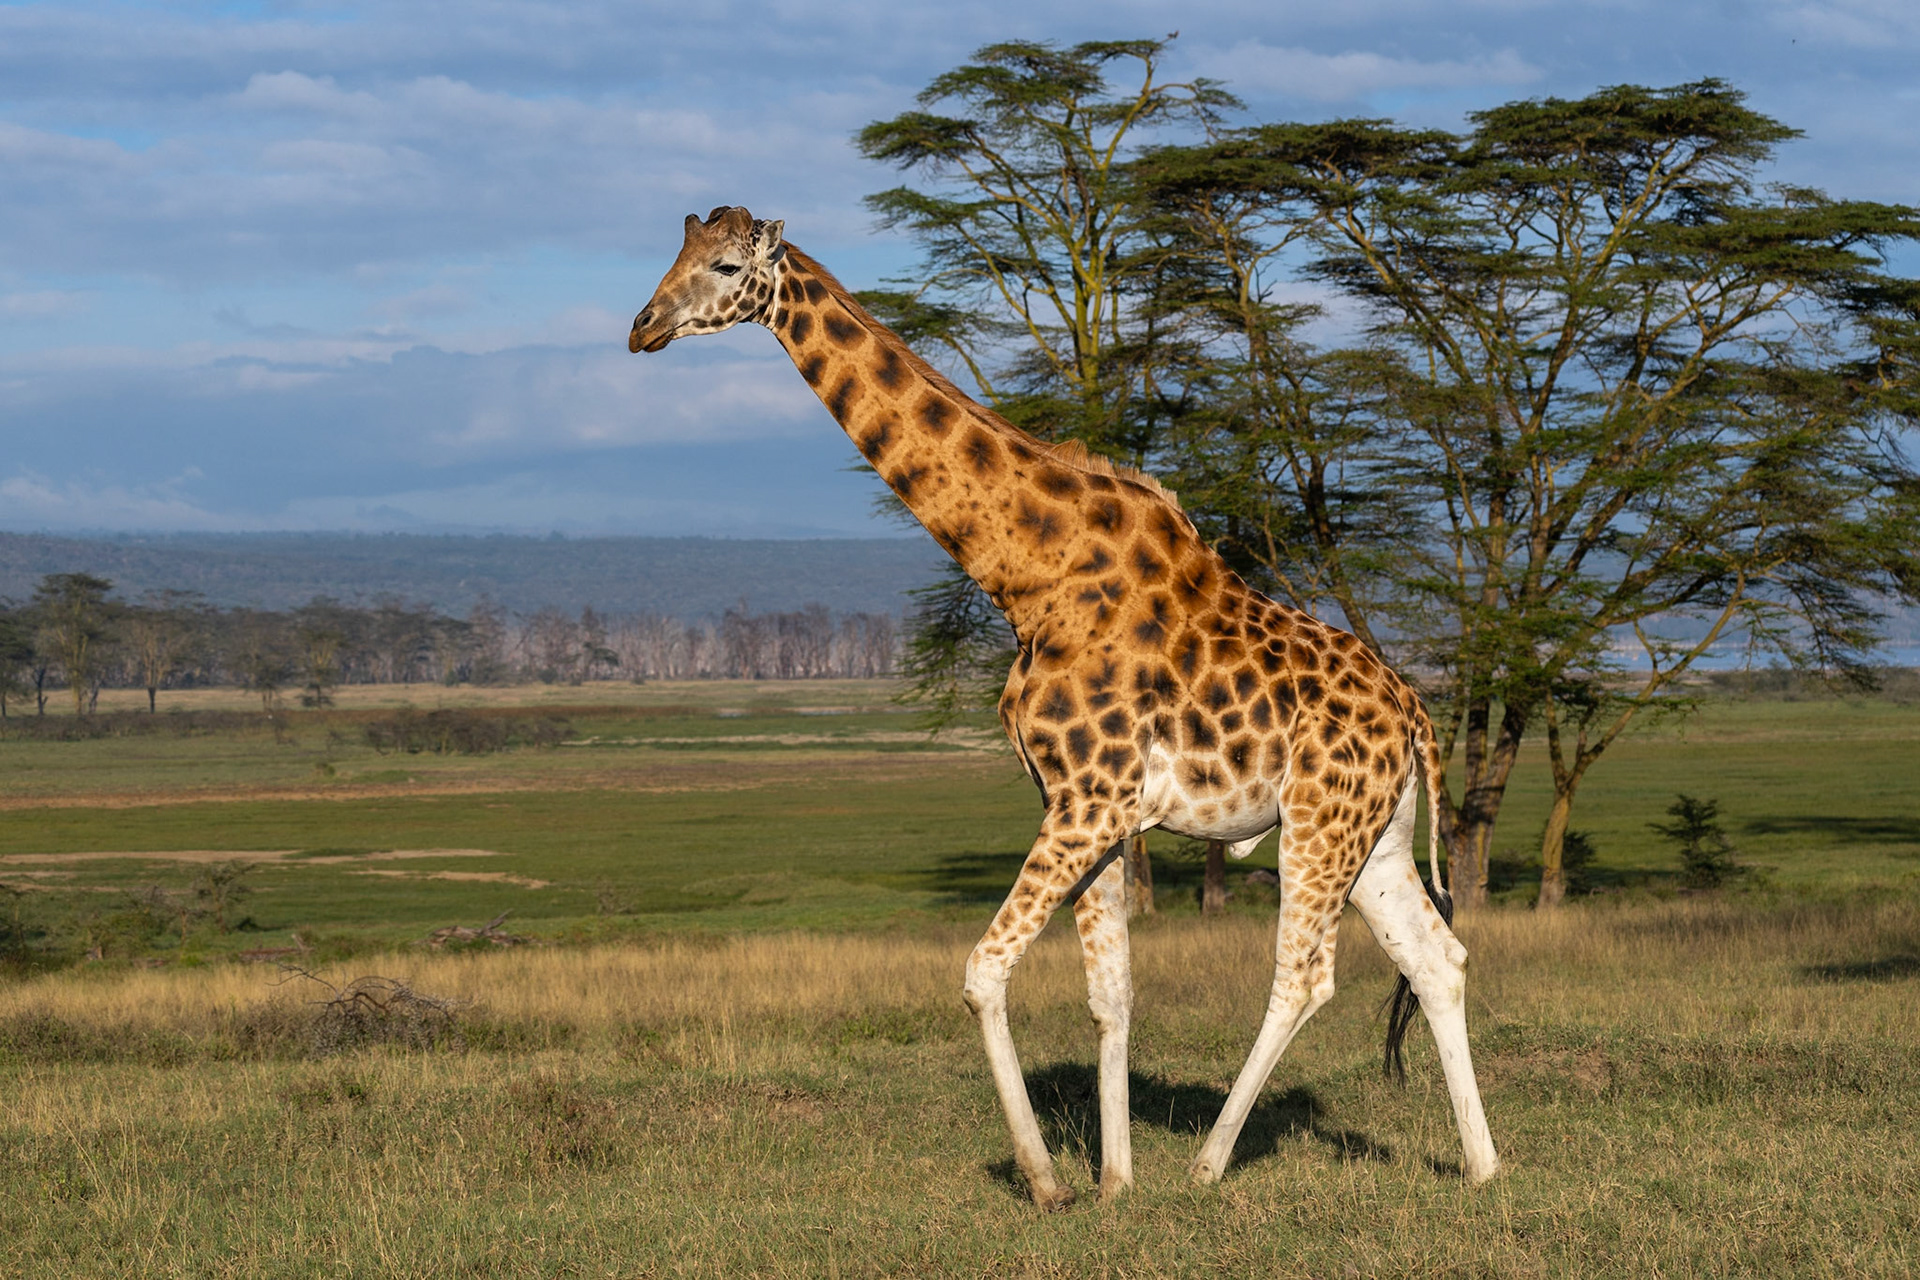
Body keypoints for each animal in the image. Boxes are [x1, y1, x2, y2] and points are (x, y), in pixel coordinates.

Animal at [628, 207, 1501, 1207]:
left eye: (727, 267)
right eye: (675, 253)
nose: (643, 327)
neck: (1025, 575)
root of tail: (1415, 712)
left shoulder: (1087, 800)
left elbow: (983, 971)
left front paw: (1047, 1180)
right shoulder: (1088, 806)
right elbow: (1108, 993)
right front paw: (1113, 1181)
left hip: (1318, 822)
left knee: (1304, 977)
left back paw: (1208, 1164)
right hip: (1376, 835)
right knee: (1437, 960)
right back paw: (1483, 1167)